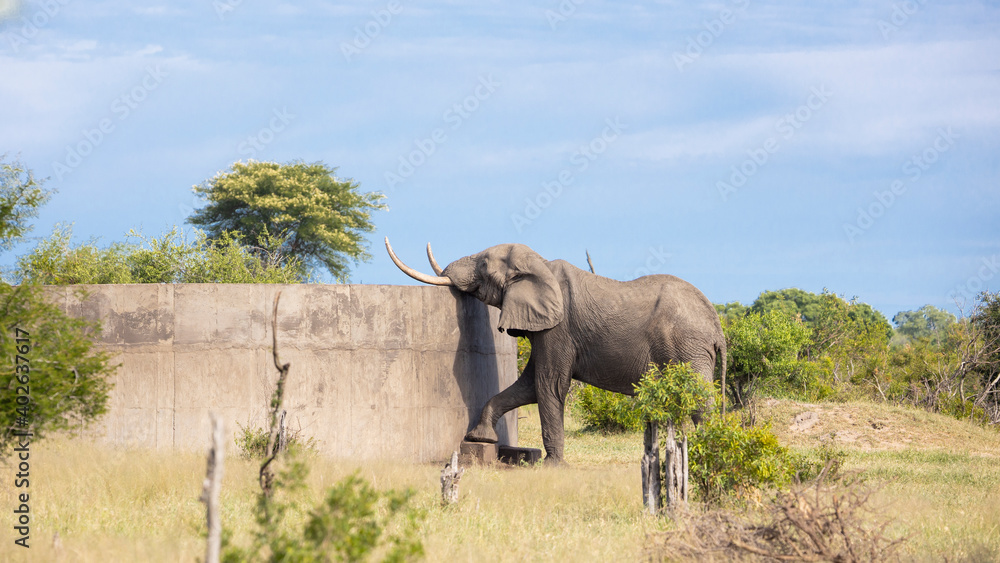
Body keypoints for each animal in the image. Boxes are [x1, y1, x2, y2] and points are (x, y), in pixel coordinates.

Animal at [385, 238, 726, 464]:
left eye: (483, 265)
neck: (541, 264)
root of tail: (717, 328)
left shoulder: (559, 329)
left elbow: (548, 385)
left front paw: (551, 465)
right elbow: (527, 386)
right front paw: (480, 438)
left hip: (688, 347)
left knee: (700, 400)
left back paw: (708, 447)